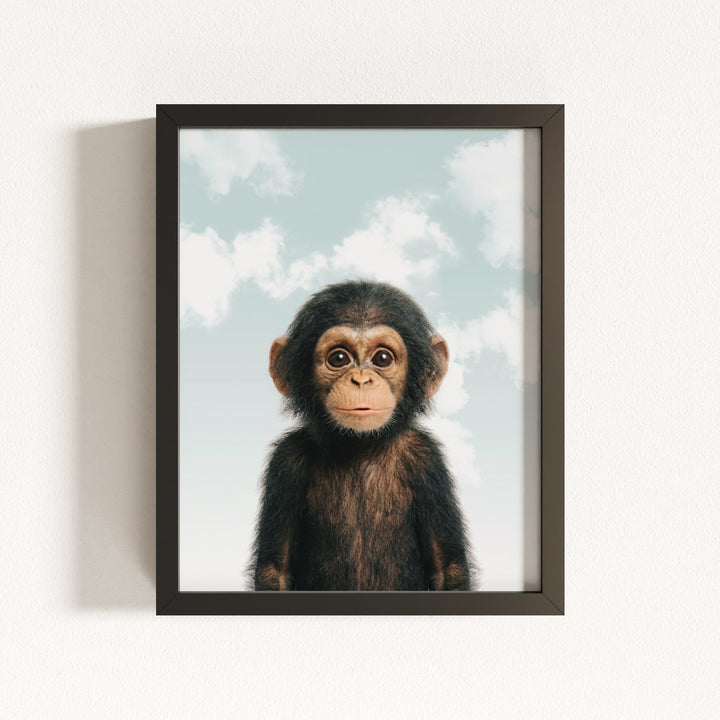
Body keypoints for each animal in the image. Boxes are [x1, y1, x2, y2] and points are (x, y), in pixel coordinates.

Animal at [250, 280, 474, 591]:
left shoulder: (427, 458)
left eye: (382, 358)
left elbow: (447, 569)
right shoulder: (286, 460)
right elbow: (275, 570)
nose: (361, 380)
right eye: (339, 358)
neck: (360, 446)